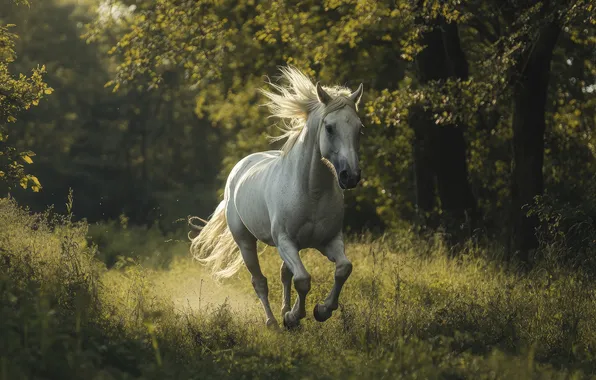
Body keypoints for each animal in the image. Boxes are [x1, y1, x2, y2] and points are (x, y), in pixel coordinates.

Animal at [190, 67, 364, 328]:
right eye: (330, 127)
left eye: (359, 128)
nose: (350, 176)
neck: (311, 192)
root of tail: (240, 167)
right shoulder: (285, 241)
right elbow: (303, 279)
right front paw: (294, 317)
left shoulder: (329, 240)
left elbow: (343, 269)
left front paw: (321, 310)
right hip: (245, 242)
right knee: (260, 281)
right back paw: (273, 322)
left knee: (284, 274)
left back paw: (283, 312)